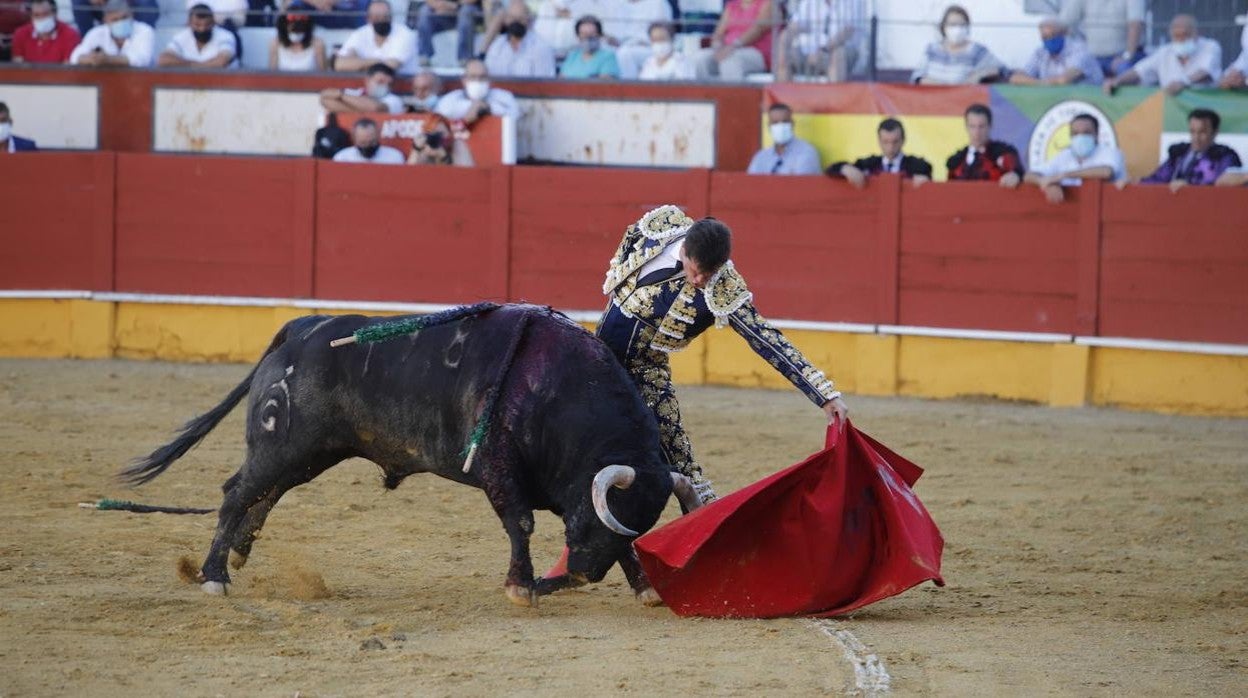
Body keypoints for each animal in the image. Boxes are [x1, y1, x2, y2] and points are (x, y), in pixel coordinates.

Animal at [125, 305, 703, 606]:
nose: (581, 575)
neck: (561, 395)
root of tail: (302, 326)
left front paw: (646, 589)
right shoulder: (500, 470)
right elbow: (520, 523)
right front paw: (522, 587)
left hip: (308, 453)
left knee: (265, 493)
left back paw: (240, 555)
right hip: (282, 444)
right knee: (236, 493)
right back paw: (214, 575)